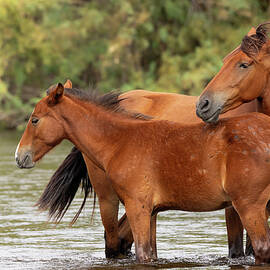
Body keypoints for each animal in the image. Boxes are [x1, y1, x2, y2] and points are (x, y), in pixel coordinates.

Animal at [14, 83, 270, 264]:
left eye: (34, 120)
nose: (19, 156)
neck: (121, 141)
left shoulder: (137, 207)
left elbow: (142, 254)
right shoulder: (152, 212)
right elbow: (152, 254)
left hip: (249, 206)